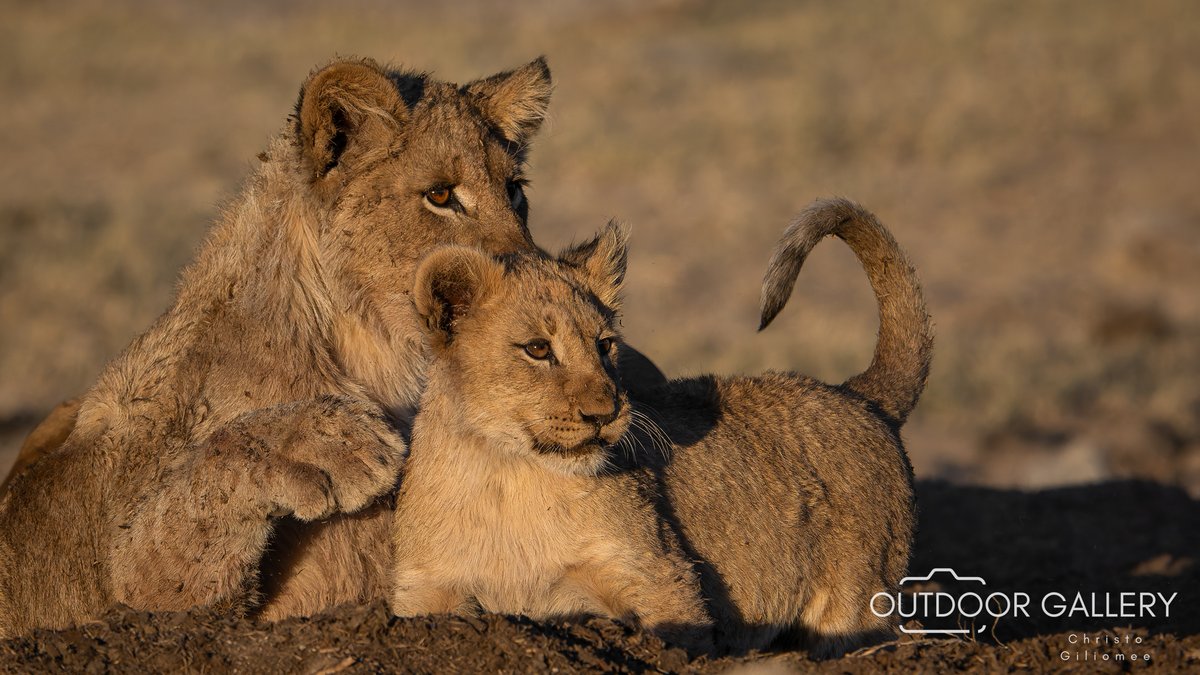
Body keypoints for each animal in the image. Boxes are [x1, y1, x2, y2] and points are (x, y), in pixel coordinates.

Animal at [0, 55, 666, 636]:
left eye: (516, 190)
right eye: (441, 195)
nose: (528, 278)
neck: (373, 358)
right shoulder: (124, 581)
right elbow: (159, 543)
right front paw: (329, 444)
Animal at [386, 198, 932, 657]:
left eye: (605, 344)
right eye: (538, 349)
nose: (605, 412)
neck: (507, 475)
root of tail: (860, 395)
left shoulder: (662, 578)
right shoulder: (423, 587)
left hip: (859, 594)